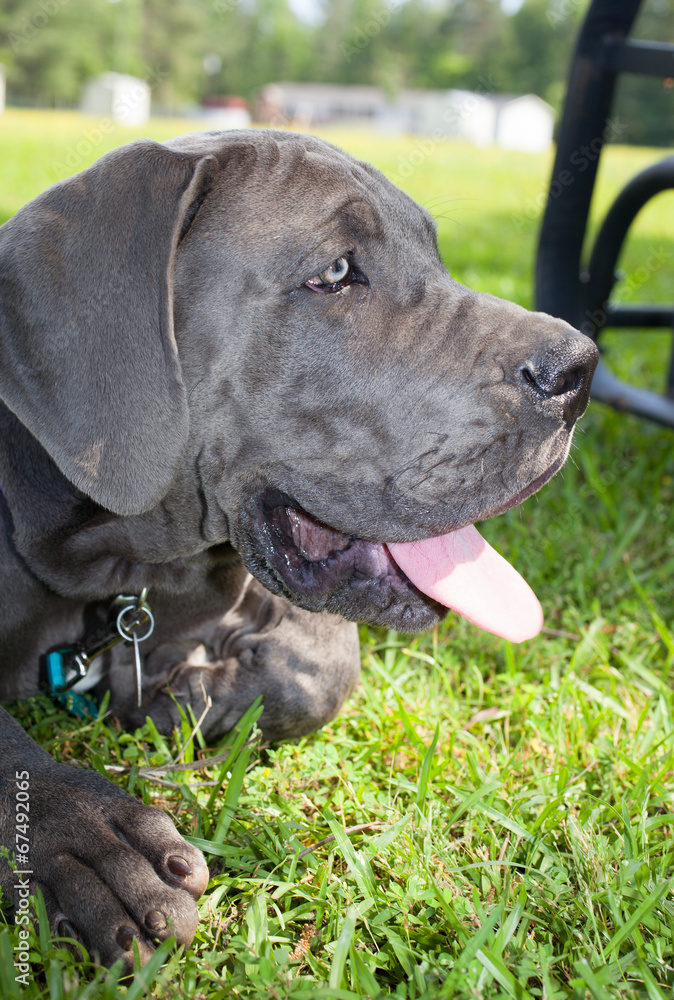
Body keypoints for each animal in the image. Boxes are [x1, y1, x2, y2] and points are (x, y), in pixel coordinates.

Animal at [0, 129, 600, 972]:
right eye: (337, 273)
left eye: (435, 257)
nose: (582, 370)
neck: (122, 568)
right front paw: (86, 835)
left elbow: (322, 669)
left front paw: (187, 697)